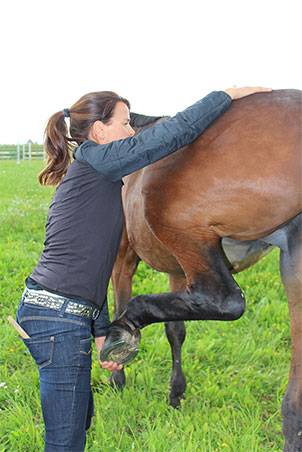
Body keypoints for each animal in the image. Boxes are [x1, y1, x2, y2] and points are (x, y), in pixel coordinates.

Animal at [103, 89, 300, 452]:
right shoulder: (178, 271)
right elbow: (176, 330)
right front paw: (175, 394)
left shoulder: (123, 256)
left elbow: (120, 302)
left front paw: (117, 371)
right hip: (293, 257)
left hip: (181, 227)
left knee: (226, 300)